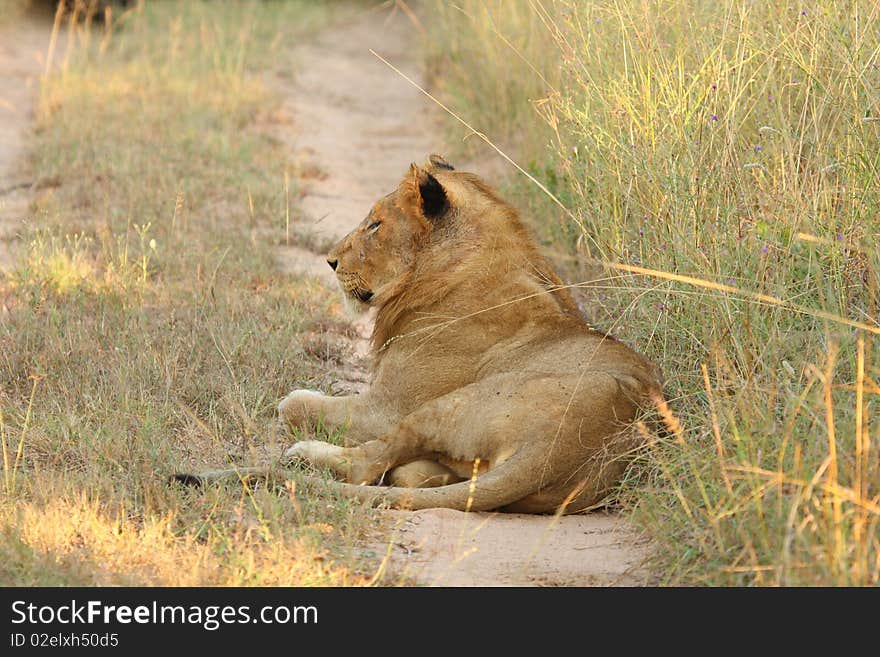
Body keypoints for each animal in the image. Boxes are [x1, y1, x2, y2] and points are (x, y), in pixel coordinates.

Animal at [177, 155, 660, 512]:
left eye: (375, 224)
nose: (330, 261)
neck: (446, 270)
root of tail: (562, 449)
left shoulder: (385, 407)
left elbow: (293, 402)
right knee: (407, 474)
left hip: (447, 406)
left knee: (366, 465)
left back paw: (305, 453)